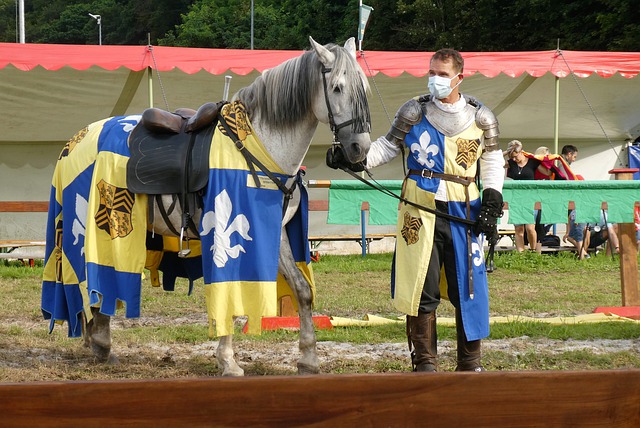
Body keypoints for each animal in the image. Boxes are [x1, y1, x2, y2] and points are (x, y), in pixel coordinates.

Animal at [41, 37, 371, 376]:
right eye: (337, 88)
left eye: (364, 89)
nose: (359, 148)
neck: (260, 146)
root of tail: (76, 140)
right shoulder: (227, 234)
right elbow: (229, 294)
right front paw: (228, 361)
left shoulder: (274, 232)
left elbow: (302, 291)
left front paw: (308, 358)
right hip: (96, 228)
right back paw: (101, 340)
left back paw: (96, 338)